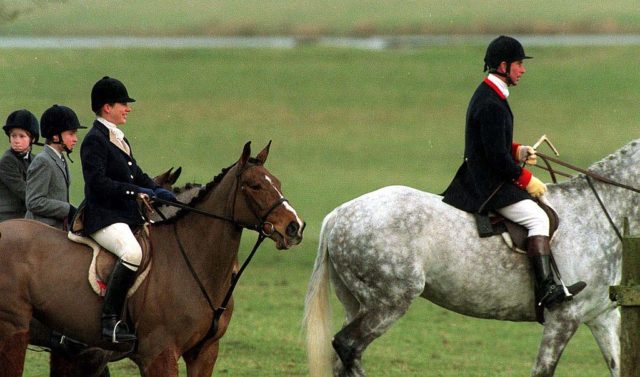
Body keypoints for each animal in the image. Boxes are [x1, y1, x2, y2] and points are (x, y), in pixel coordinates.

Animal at [0, 142, 304, 376]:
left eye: (277, 183)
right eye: (254, 186)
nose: (295, 227)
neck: (192, 260)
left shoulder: (204, 352)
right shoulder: (155, 354)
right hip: (13, 330)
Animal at [304, 140, 640, 374]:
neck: (595, 214)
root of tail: (339, 214)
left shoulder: (602, 317)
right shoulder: (564, 318)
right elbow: (543, 370)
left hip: (357, 303)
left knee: (343, 357)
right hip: (389, 303)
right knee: (348, 346)